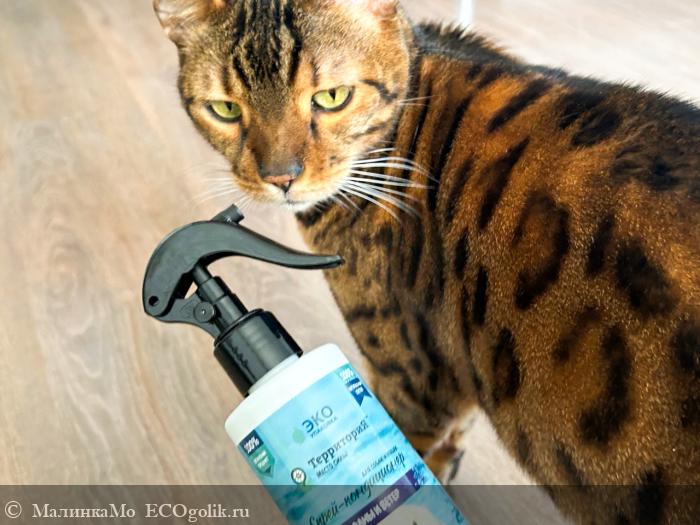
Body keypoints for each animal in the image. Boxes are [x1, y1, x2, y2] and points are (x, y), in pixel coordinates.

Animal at [153, 0, 700, 523]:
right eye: (225, 110)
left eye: (332, 98)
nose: (280, 177)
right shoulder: (456, 367)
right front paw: (447, 462)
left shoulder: (410, 382)